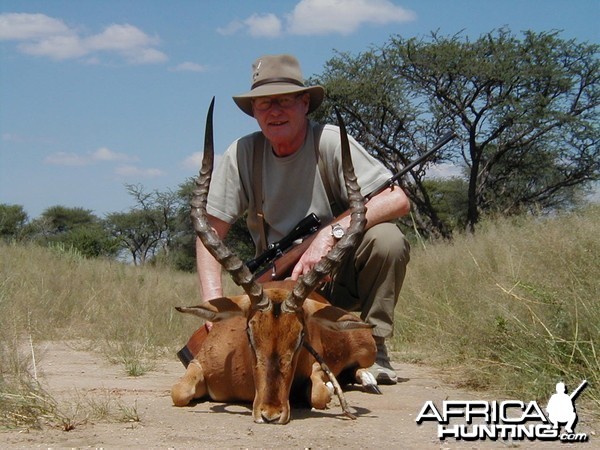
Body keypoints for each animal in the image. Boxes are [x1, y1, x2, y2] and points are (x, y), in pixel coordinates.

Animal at [171, 99, 380, 426]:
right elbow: (179, 393)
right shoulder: (196, 367)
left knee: (362, 370)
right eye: (249, 332)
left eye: (300, 337)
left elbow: (319, 395)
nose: (271, 413)